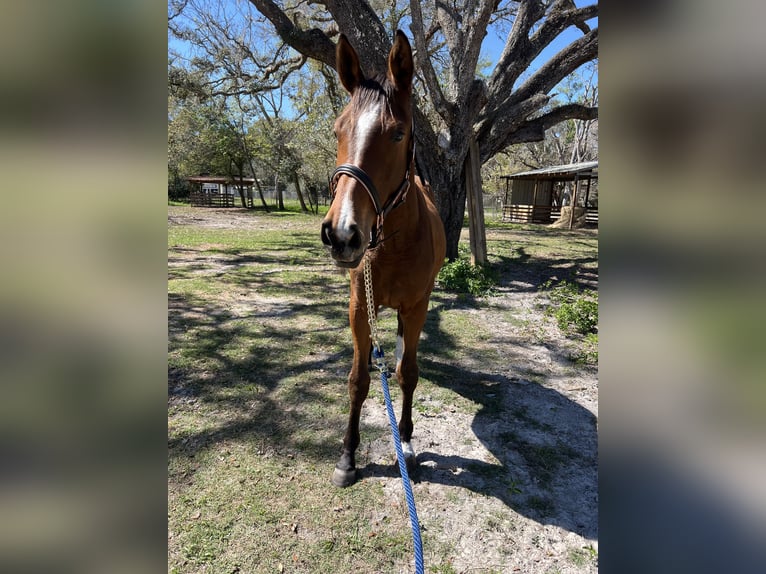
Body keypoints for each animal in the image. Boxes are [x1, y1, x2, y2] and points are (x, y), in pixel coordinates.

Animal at [320, 31, 448, 488]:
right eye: (338, 129)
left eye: (397, 134)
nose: (342, 233)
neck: (392, 245)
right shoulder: (360, 308)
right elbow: (358, 381)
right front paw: (347, 456)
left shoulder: (417, 307)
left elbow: (408, 375)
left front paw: (406, 441)